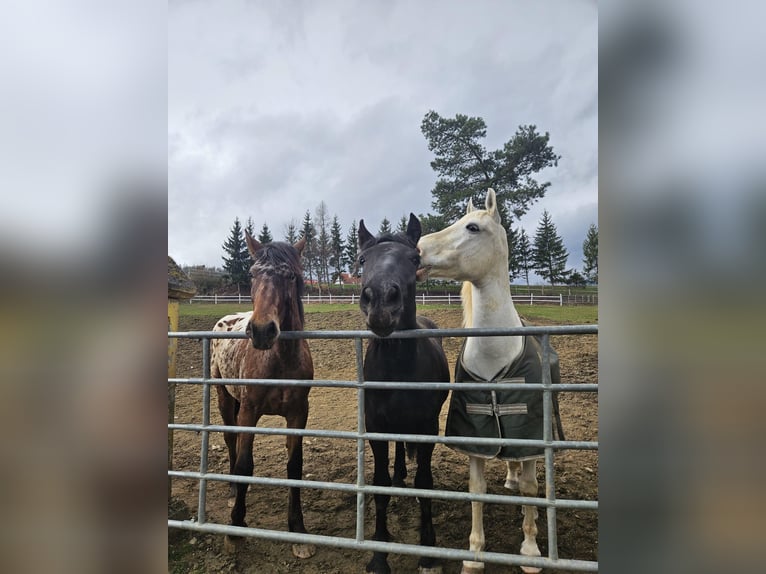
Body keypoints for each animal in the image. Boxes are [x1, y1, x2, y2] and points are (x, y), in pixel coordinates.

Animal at [210, 232, 316, 560]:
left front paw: (298, 530)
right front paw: (235, 528)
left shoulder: (298, 413)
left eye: (290, 276)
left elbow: (295, 467)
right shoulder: (249, 410)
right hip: (224, 397)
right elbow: (245, 463)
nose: (261, 330)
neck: (278, 360)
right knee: (230, 438)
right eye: (253, 274)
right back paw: (234, 489)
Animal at [356, 215, 452, 574]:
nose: (381, 301)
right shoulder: (376, 428)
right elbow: (380, 486)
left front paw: (428, 549)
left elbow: (425, 484)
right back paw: (399, 476)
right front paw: (379, 553)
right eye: (362, 260)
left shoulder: (426, 428)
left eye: (414, 259)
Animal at [420, 190, 564, 574]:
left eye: (472, 227)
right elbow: (477, 490)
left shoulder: (529, 439)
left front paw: (530, 552)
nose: (418, 249)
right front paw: (474, 556)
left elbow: (530, 490)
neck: (496, 357)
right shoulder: (475, 438)